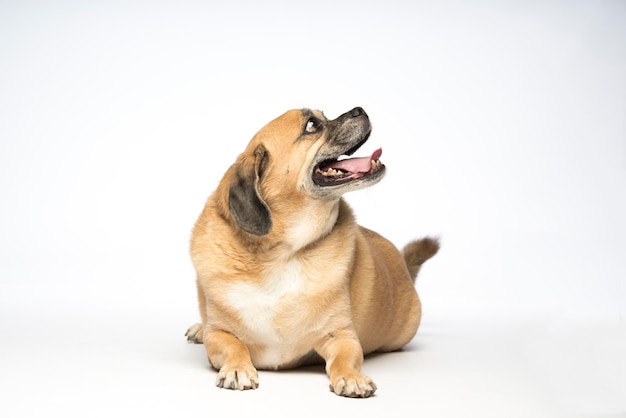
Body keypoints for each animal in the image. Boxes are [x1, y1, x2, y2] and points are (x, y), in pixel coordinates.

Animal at [184, 106, 438, 396]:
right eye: (312, 125)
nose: (359, 109)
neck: (282, 254)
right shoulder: (219, 335)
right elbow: (233, 345)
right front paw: (237, 368)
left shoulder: (342, 336)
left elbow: (344, 359)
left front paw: (351, 377)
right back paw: (199, 328)